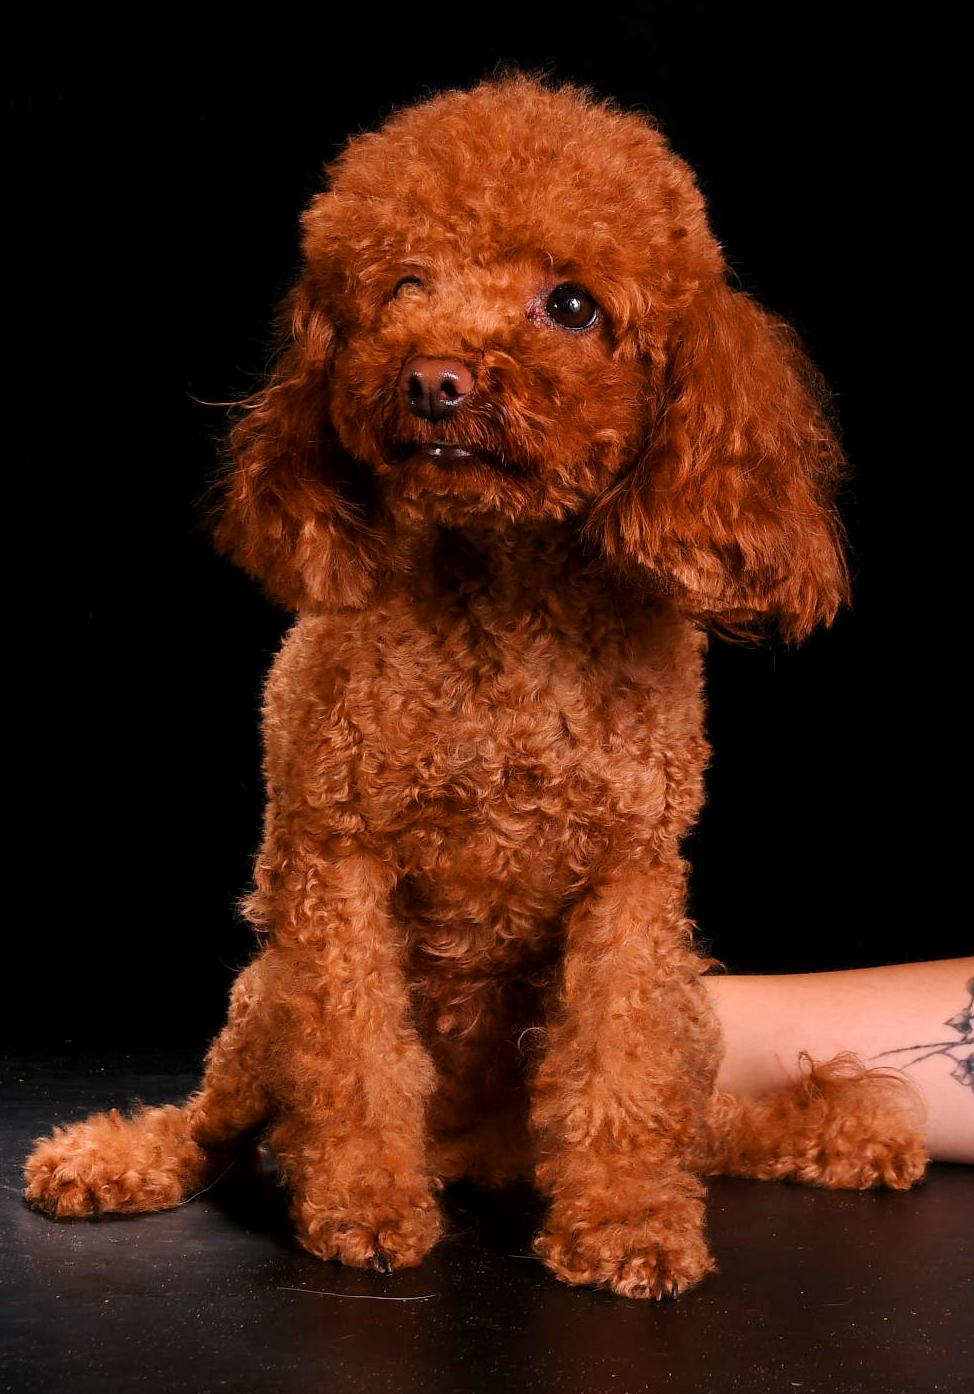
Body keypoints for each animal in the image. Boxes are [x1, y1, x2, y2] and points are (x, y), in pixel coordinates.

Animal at [24, 75, 927, 1299]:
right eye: (405, 285)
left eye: (572, 305)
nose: (432, 380)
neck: (502, 596)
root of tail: (473, 1153)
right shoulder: (335, 866)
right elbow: (355, 1056)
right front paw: (362, 1202)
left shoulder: (630, 889)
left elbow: (619, 1068)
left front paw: (627, 1221)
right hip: (264, 993)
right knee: (218, 1125)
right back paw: (125, 1159)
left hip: (688, 1007)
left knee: (698, 1125)